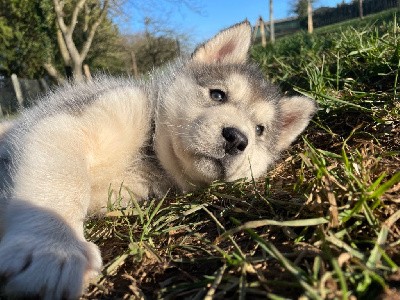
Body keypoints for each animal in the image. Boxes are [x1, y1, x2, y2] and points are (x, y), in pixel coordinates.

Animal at [0, 22, 316, 298]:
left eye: (260, 130)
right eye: (217, 94)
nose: (237, 139)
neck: (150, 153)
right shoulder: (74, 122)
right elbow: (62, 182)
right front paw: (53, 248)